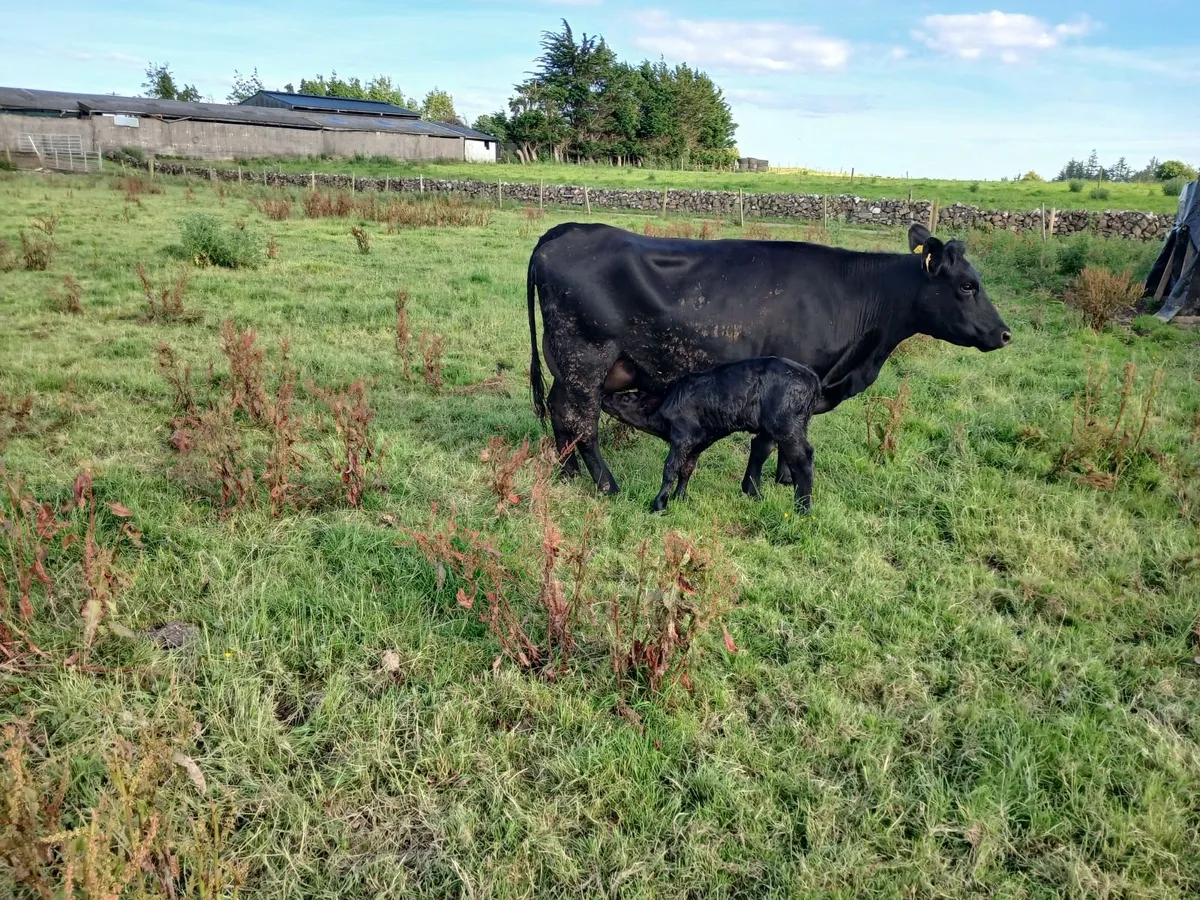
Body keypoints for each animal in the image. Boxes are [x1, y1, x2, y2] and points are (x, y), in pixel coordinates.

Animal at [527, 221, 1009, 495]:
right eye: (967, 285)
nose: (1005, 333)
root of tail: (566, 230)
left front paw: (783, 479)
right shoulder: (782, 376)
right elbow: (764, 441)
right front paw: (757, 487)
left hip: (567, 365)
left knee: (559, 413)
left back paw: (567, 474)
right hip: (585, 358)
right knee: (582, 423)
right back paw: (606, 485)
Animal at [601, 356, 822, 513]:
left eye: (627, 397)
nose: (605, 397)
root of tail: (810, 375)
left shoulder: (682, 437)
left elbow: (671, 468)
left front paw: (660, 503)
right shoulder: (698, 443)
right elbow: (686, 469)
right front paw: (680, 497)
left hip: (786, 427)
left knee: (803, 459)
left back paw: (802, 509)